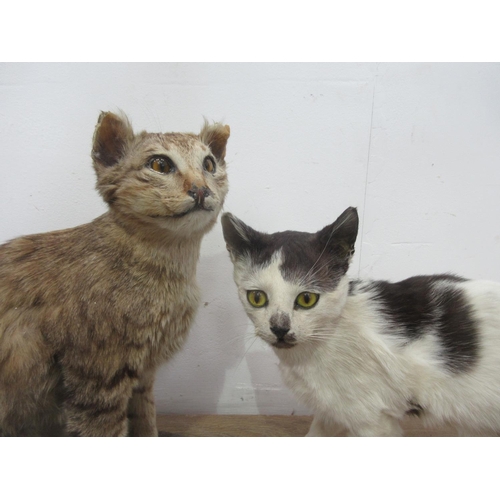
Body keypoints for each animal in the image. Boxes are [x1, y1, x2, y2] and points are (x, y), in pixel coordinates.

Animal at [0, 111, 230, 436]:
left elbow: (146, 421)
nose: (201, 189)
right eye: (160, 165)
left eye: (209, 164)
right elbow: (109, 431)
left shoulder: (142, 374)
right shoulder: (98, 380)